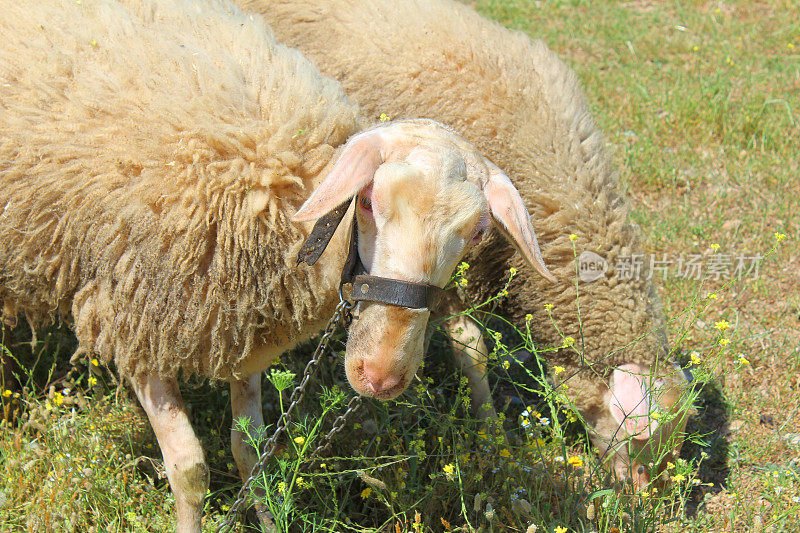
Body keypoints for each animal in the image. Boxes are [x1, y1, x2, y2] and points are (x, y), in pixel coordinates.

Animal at [0, 0, 552, 528]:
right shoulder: (135, 323)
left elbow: (250, 451)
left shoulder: (241, 329)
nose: (380, 376)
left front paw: (265, 517)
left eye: (478, 232)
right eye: (368, 199)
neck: (279, 197)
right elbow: (189, 469)